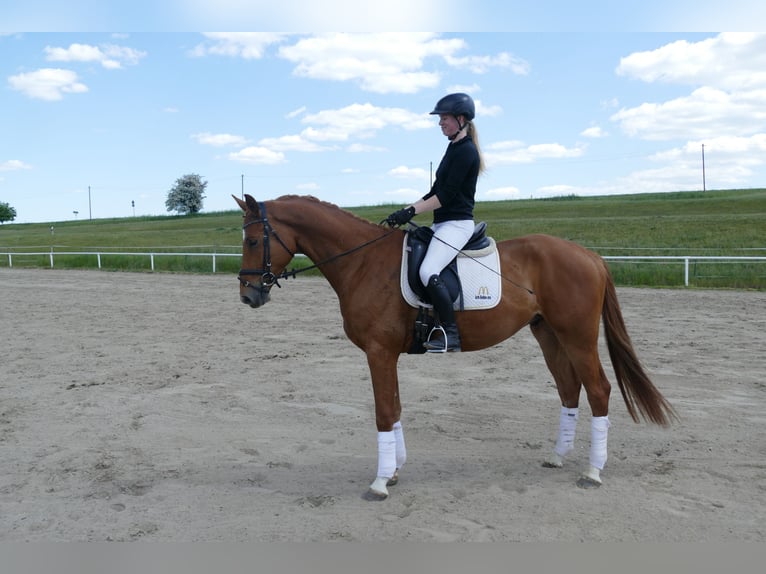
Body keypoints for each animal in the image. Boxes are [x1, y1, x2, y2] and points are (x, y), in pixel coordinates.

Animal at [234, 194, 676, 499]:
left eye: (254, 240)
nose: (248, 295)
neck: (363, 262)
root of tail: (589, 255)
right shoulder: (387, 355)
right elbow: (395, 409)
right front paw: (395, 471)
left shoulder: (379, 352)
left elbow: (383, 412)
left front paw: (379, 482)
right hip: (548, 334)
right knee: (570, 389)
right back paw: (556, 457)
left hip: (577, 335)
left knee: (598, 389)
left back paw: (592, 472)